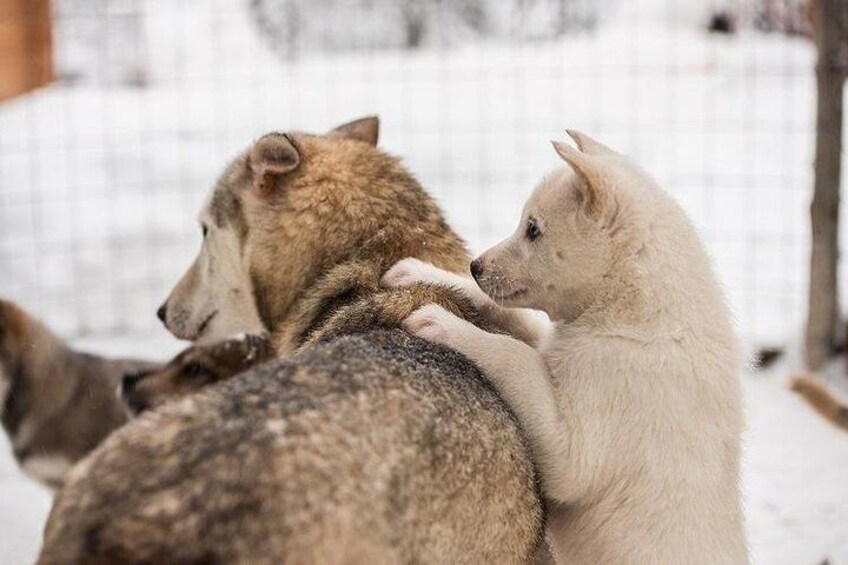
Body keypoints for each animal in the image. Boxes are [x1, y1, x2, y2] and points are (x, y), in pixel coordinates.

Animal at [384, 131, 748, 564]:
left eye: (533, 230)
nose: (475, 266)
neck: (634, 311)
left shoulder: (574, 449)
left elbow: (513, 355)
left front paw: (440, 322)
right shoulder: (547, 339)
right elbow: (508, 318)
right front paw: (423, 272)